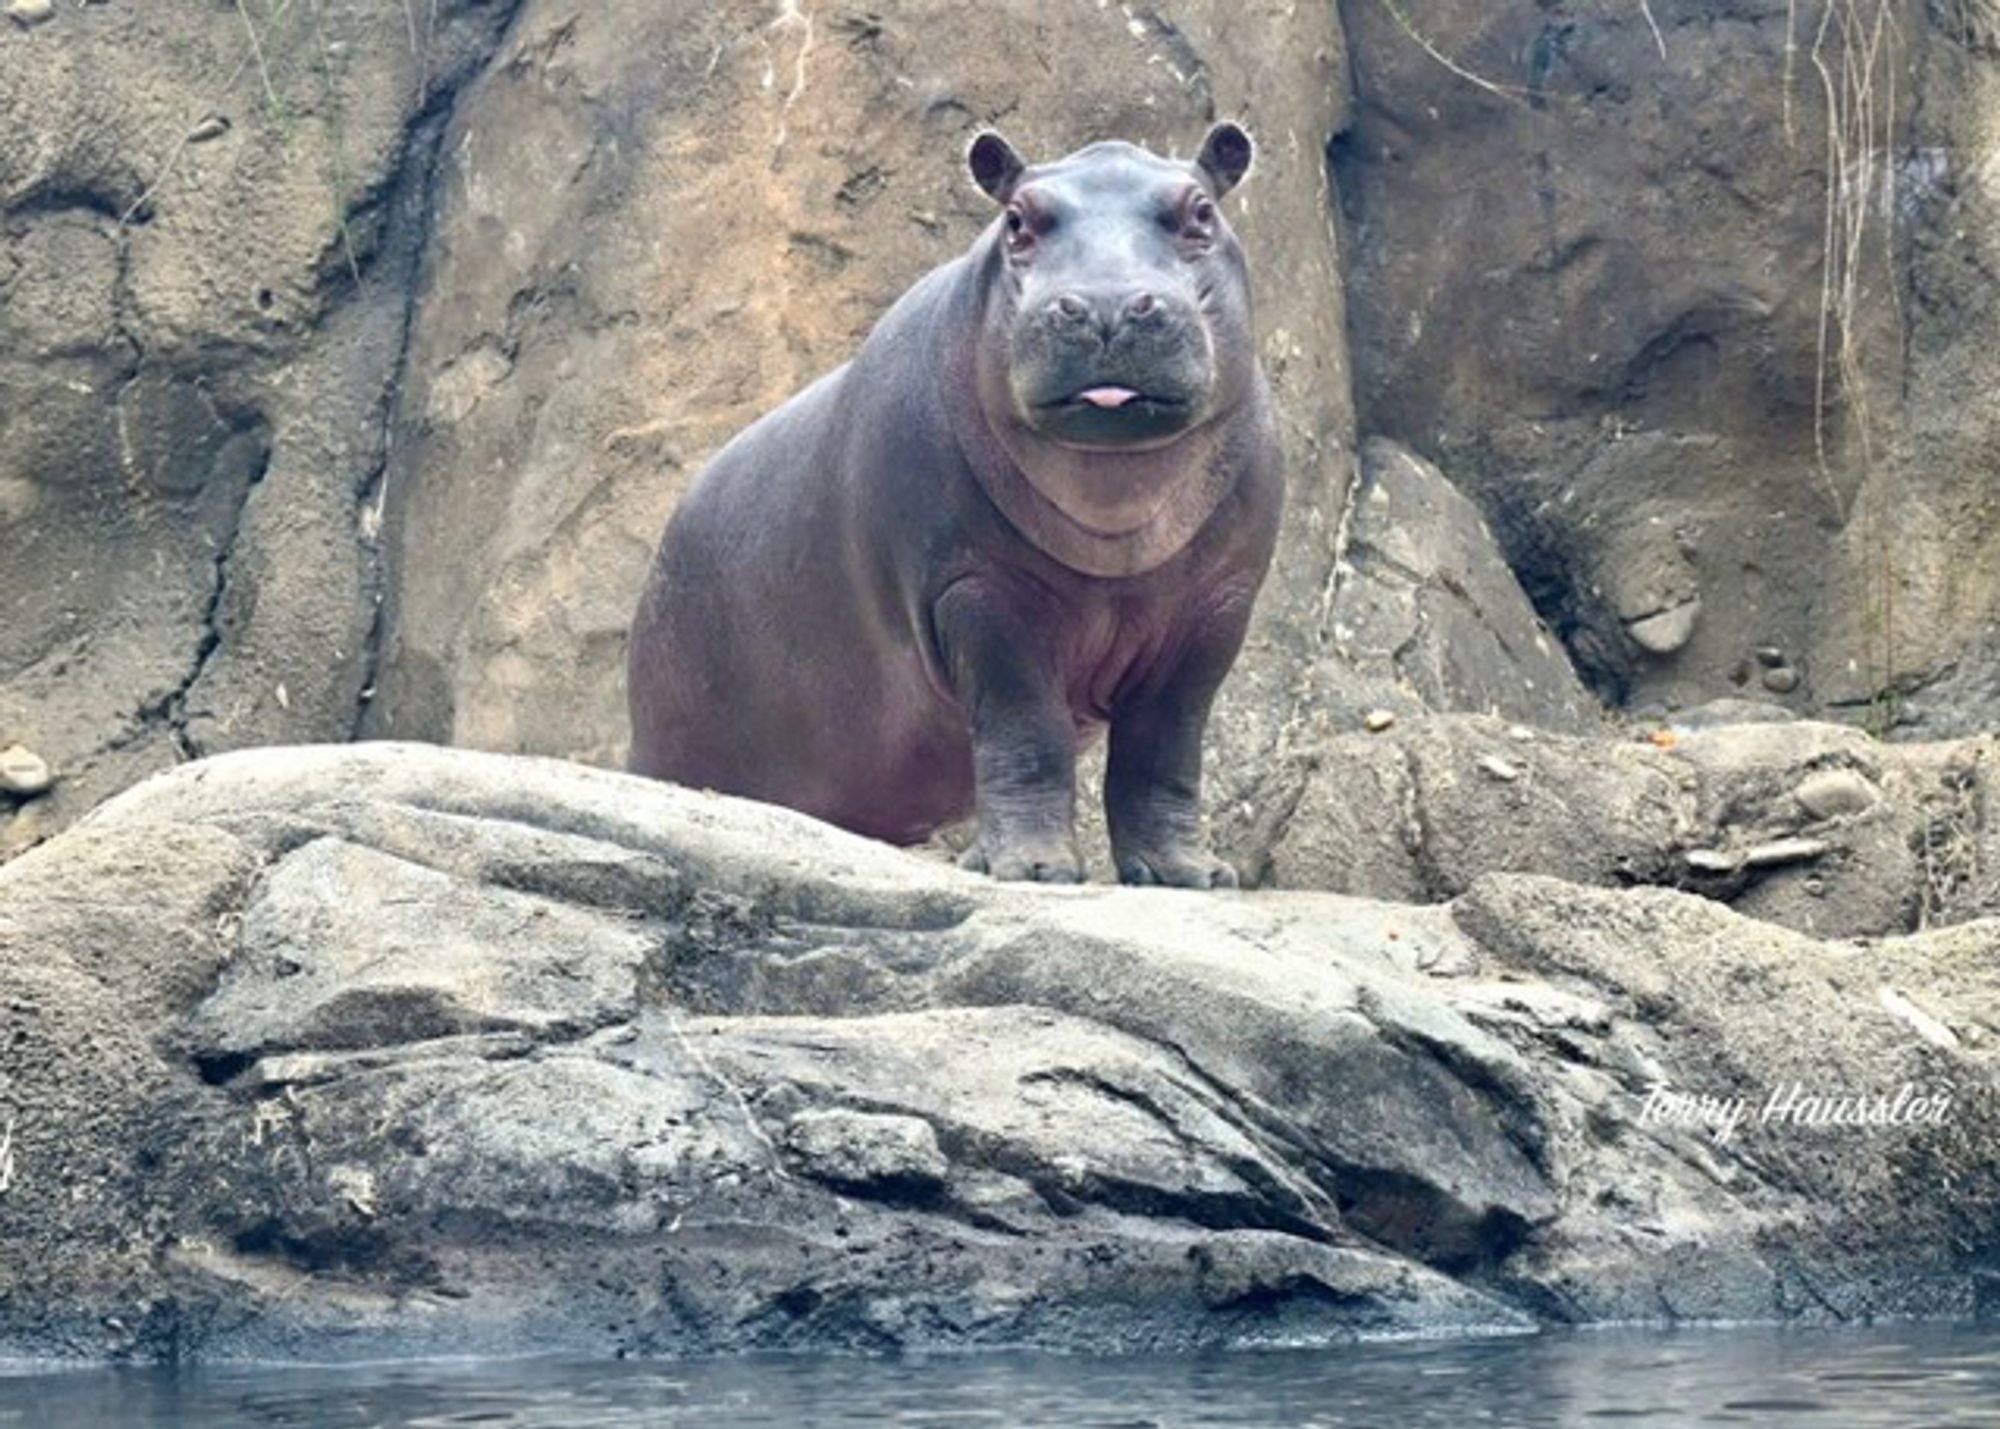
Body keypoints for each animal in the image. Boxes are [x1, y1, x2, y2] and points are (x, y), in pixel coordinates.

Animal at [624, 125, 1280, 880]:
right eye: (1017, 221)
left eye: (1201, 212)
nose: (1108, 305)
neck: (1117, 521)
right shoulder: (976, 590)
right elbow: (1026, 732)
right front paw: (1031, 870)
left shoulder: (1217, 606)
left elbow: (1166, 747)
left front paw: (1188, 875)